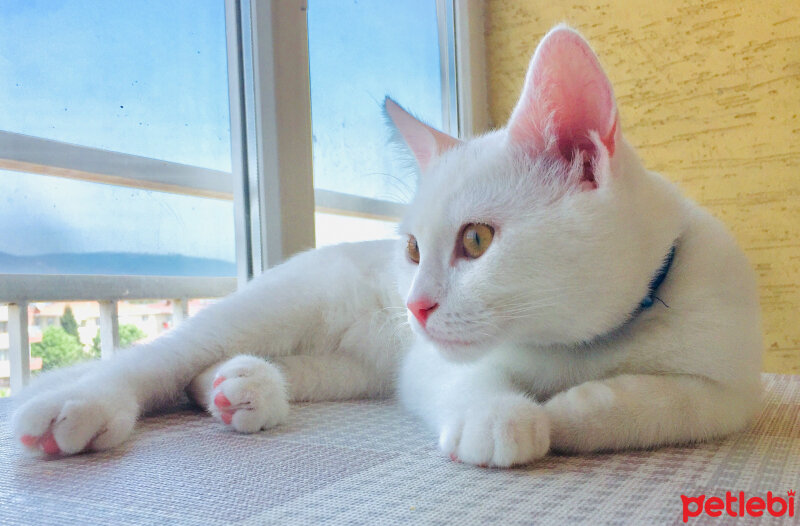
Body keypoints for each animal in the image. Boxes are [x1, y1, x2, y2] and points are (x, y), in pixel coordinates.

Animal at [12, 26, 764, 468]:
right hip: (275, 307)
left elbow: (674, 404)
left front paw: (578, 411)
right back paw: (76, 409)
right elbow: (471, 380)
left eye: (476, 240)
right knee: (154, 361)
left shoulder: (734, 385)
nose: (416, 306)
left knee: (210, 374)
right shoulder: (436, 363)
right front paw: (501, 416)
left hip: (348, 366)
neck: (583, 341)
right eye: (411, 248)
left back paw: (241, 389)